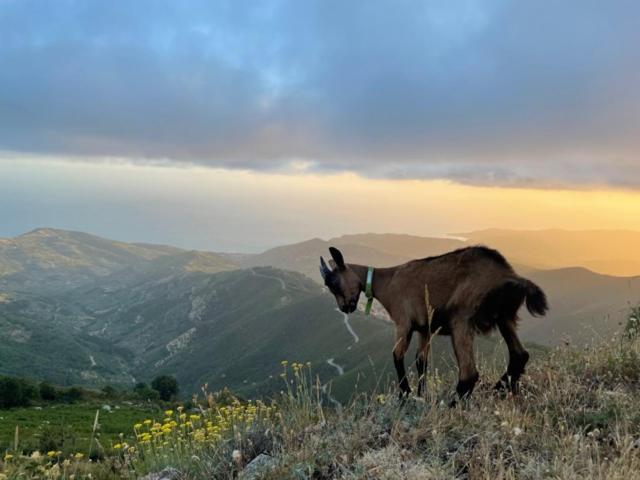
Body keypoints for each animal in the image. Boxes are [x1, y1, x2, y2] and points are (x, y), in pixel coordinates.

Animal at [320, 246, 552, 400]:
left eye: (334, 283)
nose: (345, 308)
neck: (386, 281)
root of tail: (510, 277)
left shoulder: (403, 323)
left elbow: (397, 355)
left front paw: (405, 394)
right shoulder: (424, 329)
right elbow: (421, 360)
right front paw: (421, 394)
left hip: (461, 318)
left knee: (469, 373)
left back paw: (452, 404)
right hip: (504, 317)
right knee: (520, 354)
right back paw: (499, 389)